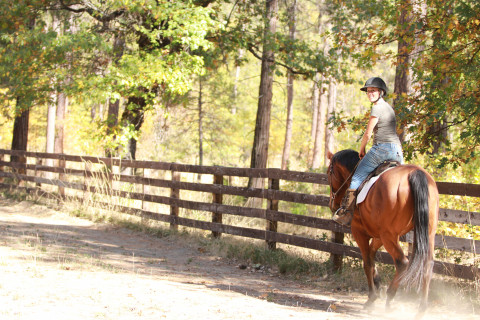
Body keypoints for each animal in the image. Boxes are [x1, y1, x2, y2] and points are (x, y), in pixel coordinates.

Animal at [328, 150, 436, 318]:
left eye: (329, 172)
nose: (332, 204)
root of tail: (414, 173)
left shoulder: (360, 232)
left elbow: (367, 262)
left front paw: (372, 298)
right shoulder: (379, 234)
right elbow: (372, 255)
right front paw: (378, 284)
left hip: (389, 236)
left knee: (402, 262)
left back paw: (390, 300)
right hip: (427, 233)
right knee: (427, 264)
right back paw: (421, 309)